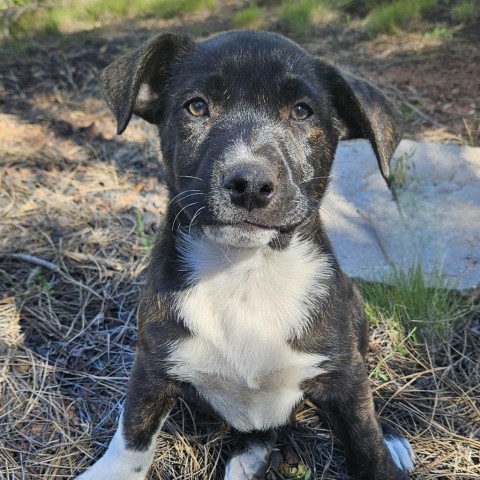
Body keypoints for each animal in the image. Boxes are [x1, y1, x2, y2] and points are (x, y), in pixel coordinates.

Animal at [77, 31, 414, 480]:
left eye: (302, 111)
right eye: (197, 106)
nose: (250, 184)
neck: (246, 272)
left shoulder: (344, 378)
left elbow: (366, 442)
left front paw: (382, 451)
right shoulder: (152, 367)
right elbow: (133, 435)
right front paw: (109, 469)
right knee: (260, 434)